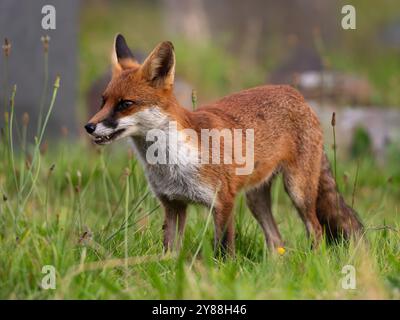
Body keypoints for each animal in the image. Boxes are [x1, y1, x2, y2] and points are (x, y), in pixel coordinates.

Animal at [86, 34, 364, 255]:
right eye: (103, 101)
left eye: (125, 104)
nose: (89, 127)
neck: (172, 163)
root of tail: (298, 95)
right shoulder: (173, 205)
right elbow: (169, 253)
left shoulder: (224, 202)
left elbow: (223, 251)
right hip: (255, 199)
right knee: (276, 240)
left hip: (298, 191)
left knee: (316, 230)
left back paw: (314, 263)